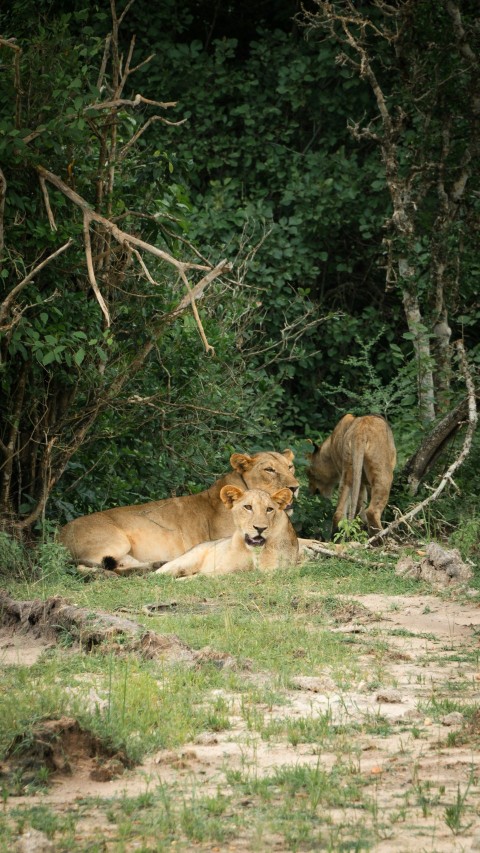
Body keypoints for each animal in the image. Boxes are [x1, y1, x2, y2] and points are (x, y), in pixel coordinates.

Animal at [154, 486, 298, 580]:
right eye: (248, 507)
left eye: (269, 509)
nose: (260, 528)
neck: (253, 552)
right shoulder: (223, 569)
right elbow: (201, 576)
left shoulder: (274, 570)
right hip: (183, 561)